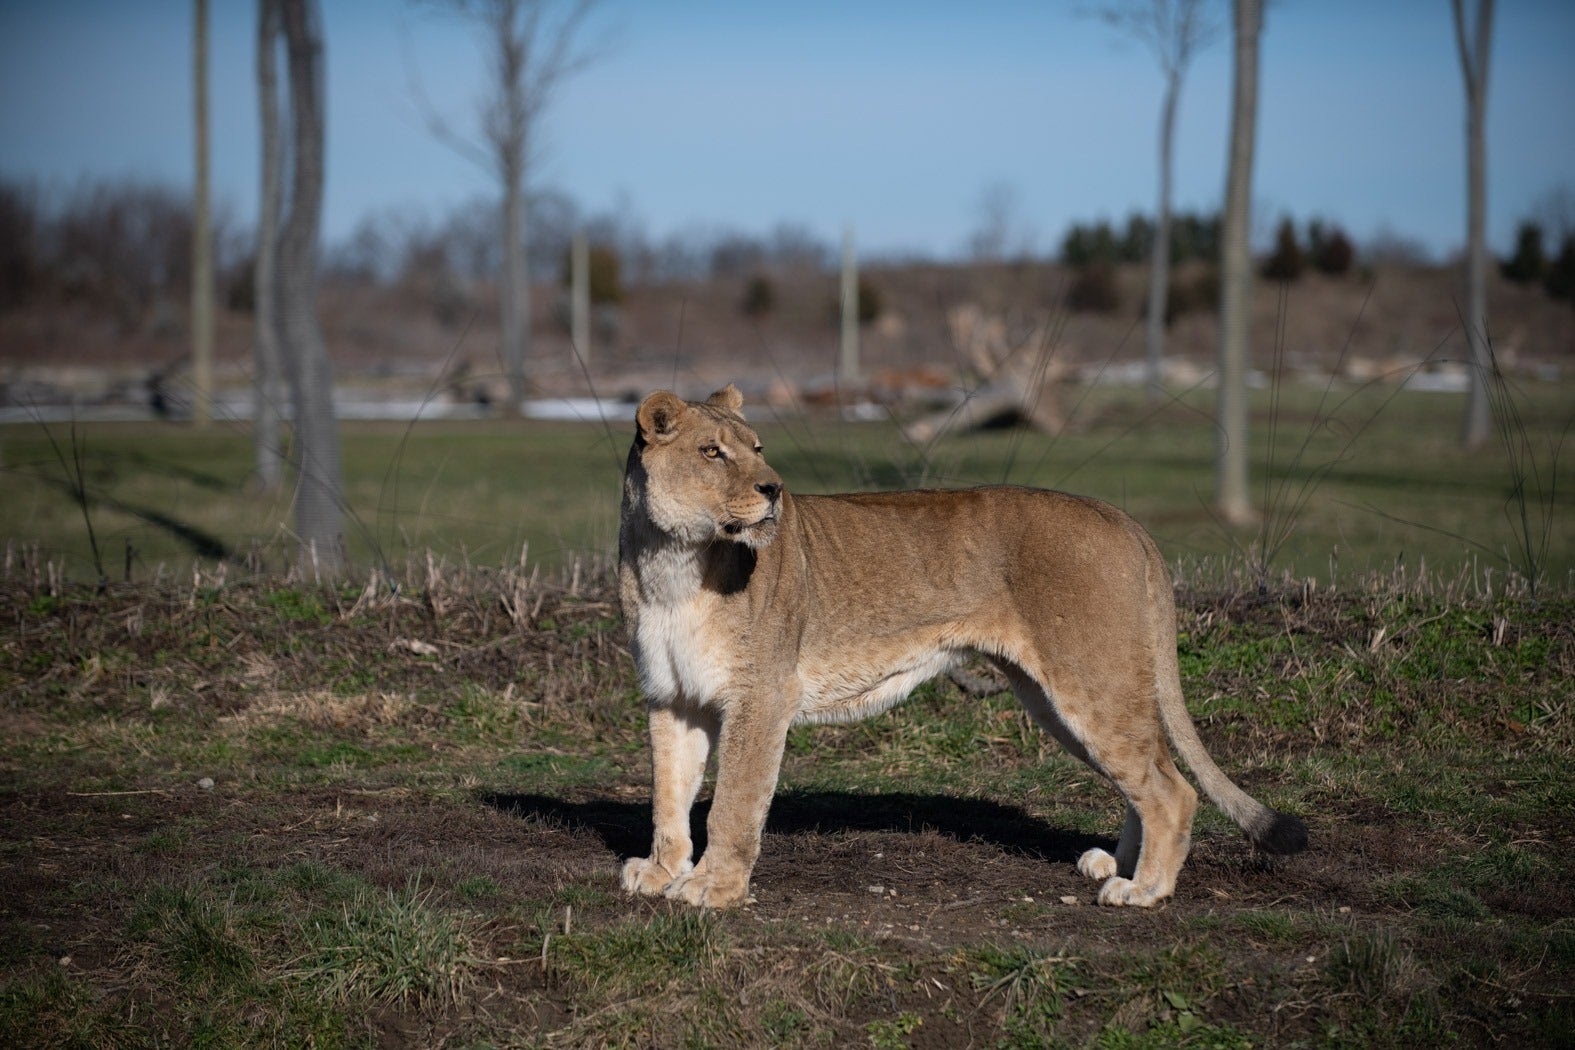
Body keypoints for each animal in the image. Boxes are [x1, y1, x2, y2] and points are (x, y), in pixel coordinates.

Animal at [617, 385, 1306, 909]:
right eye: (712, 452)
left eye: (756, 449)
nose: (774, 490)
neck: (674, 562)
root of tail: (1122, 519)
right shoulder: (673, 698)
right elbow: (669, 794)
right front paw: (662, 872)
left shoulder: (760, 697)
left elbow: (733, 804)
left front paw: (714, 889)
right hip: (1056, 700)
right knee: (1144, 775)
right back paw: (1117, 866)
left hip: (1091, 681)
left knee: (1171, 790)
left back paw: (1144, 891)